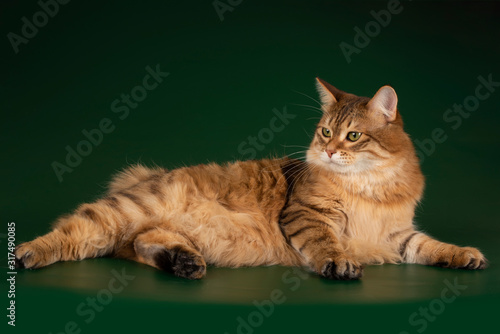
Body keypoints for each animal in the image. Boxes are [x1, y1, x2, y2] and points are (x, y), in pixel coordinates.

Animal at [13, 78, 486, 280]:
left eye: (353, 136)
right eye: (325, 132)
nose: (329, 151)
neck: (370, 188)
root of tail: (149, 175)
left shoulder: (398, 235)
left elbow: (431, 247)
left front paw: (465, 255)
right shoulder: (307, 215)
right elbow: (328, 244)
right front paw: (339, 264)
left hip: (153, 227)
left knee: (140, 243)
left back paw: (182, 262)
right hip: (123, 212)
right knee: (75, 233)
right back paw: (26, 253)